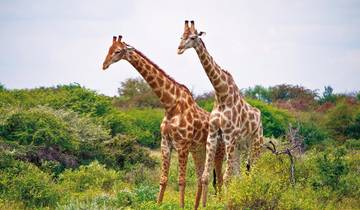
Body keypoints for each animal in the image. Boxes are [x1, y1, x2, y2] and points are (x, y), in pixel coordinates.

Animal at [102, 35, 225, 208]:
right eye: (108, 49)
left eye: (118, 51)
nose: (104, 65)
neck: (170, 104)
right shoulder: (165, 142)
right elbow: (163, 179)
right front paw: (158, 204)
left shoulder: (182, 144)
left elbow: (181, 180)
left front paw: (181, 207)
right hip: (199, 150)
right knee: (200, 178)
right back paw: (196, 207)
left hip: (219, 151)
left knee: (219, 180)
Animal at [177, 20, 264, 206]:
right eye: (181, 36)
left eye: (193, 37)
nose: (179, 48)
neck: (221, 93)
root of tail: (260, 119)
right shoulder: (212, 134)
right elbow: (206, 176)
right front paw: (205, 206)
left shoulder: (229, 135)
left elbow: (225, 176)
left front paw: (225, 204)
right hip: (239, 146)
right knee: (240, 174)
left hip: (255, 142)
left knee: (253, 170)